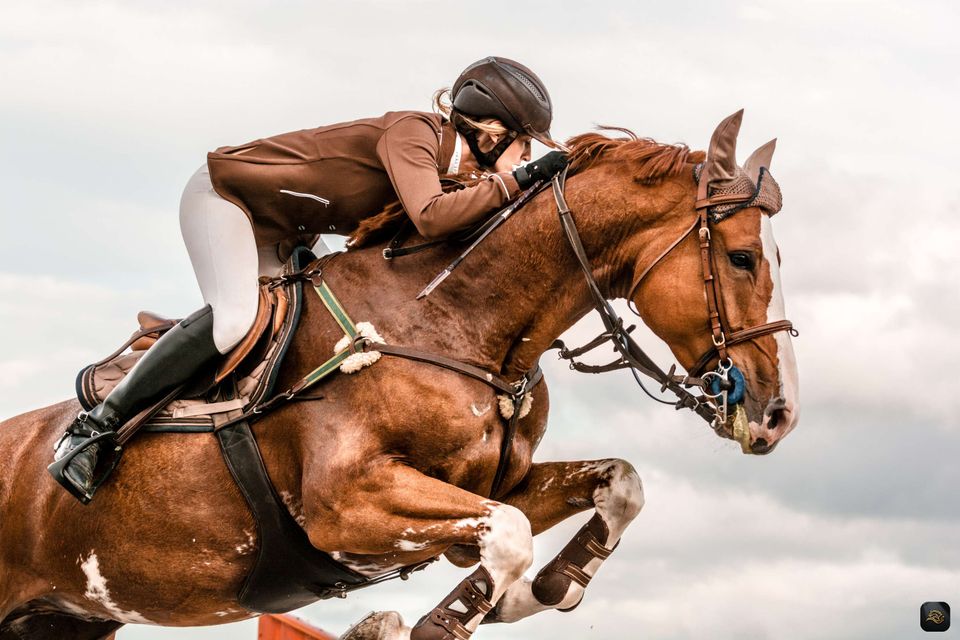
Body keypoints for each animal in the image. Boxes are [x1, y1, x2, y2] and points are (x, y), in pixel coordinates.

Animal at [0, 110, 798, 640]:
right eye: (741, 258)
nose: (779, 415)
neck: (454, 321)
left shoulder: (494, 484)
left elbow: (617, 486)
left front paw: (543, 588)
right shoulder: (346, 502)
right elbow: (509, 535)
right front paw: (460, 613)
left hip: (64, 621)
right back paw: (83, 451)